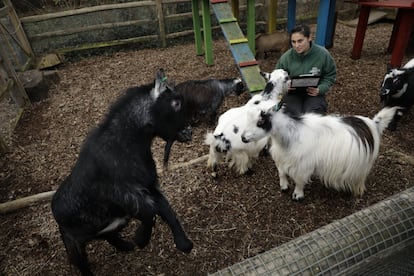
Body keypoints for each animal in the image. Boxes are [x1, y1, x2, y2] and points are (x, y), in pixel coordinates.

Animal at [51, 69, 192, 276]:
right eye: (176, 103)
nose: (190, 129)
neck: (126, 144)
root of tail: (55, 213)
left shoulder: (149, 185)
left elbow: (166, 210)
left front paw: (184, 244)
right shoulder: (124, 193)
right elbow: (150, 211)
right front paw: (141, 239)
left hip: (110, 223)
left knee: (107, 235)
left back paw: (125, 246)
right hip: (73, 243)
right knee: (82, 264)